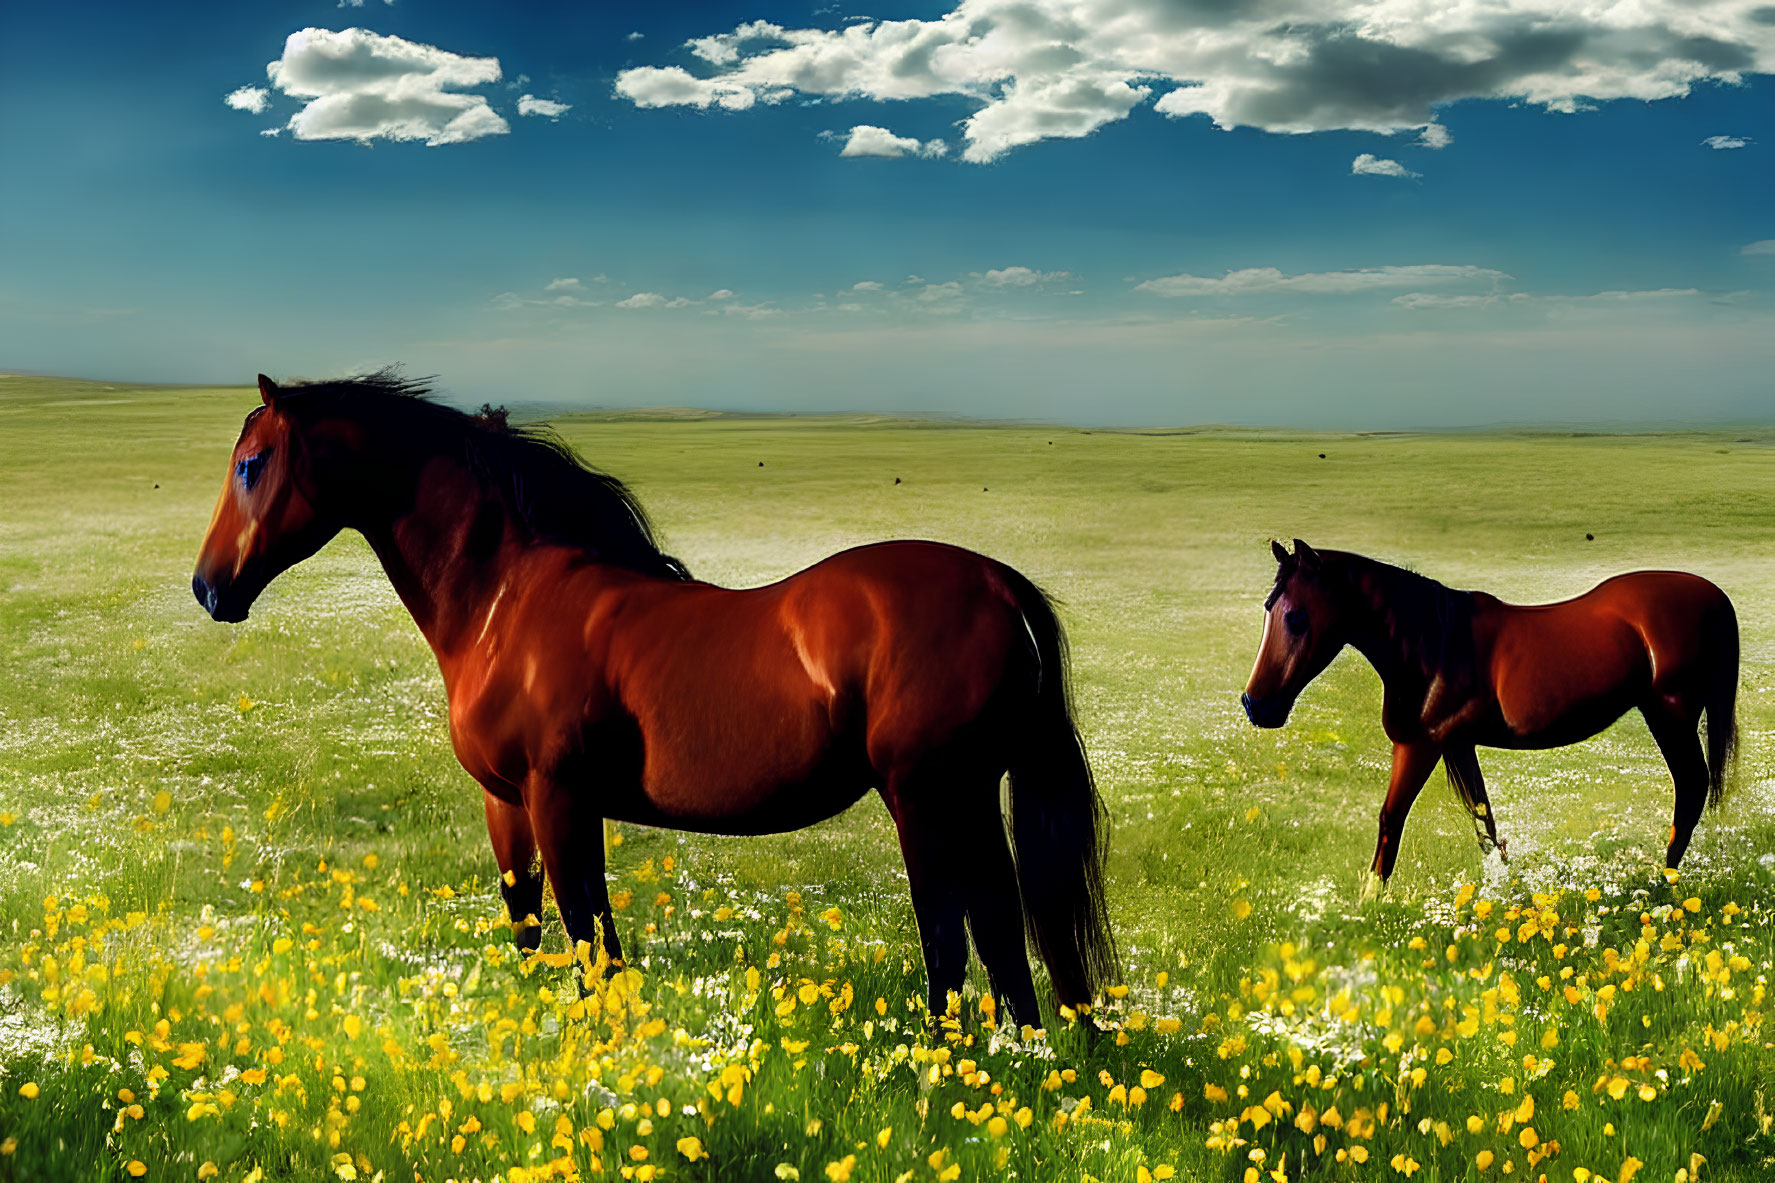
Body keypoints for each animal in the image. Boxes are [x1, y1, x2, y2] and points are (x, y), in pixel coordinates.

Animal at [190, 371, 1107, 1023]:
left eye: (251, 465)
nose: (207, 588)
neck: (504, 600)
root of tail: (996, 583)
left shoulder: (560, 798)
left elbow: (591, 936)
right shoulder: (505, 802)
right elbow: (530, 923)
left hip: (926, 799)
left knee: (952, 938)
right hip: (969, 800)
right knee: (1001, 931)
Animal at [1242, 539, 1739, 888]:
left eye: (1297, 617)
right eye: (1268, 609)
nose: (1256, 705)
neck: (1433, 643)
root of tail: (1712, 595)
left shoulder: (1420, 745)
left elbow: (1390, 819)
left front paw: (1369, 905)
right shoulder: (1458, 745)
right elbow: (1483, 820)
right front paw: (1504, 884)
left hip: (1671, 716)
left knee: (1691, 787)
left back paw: (1663, 881)